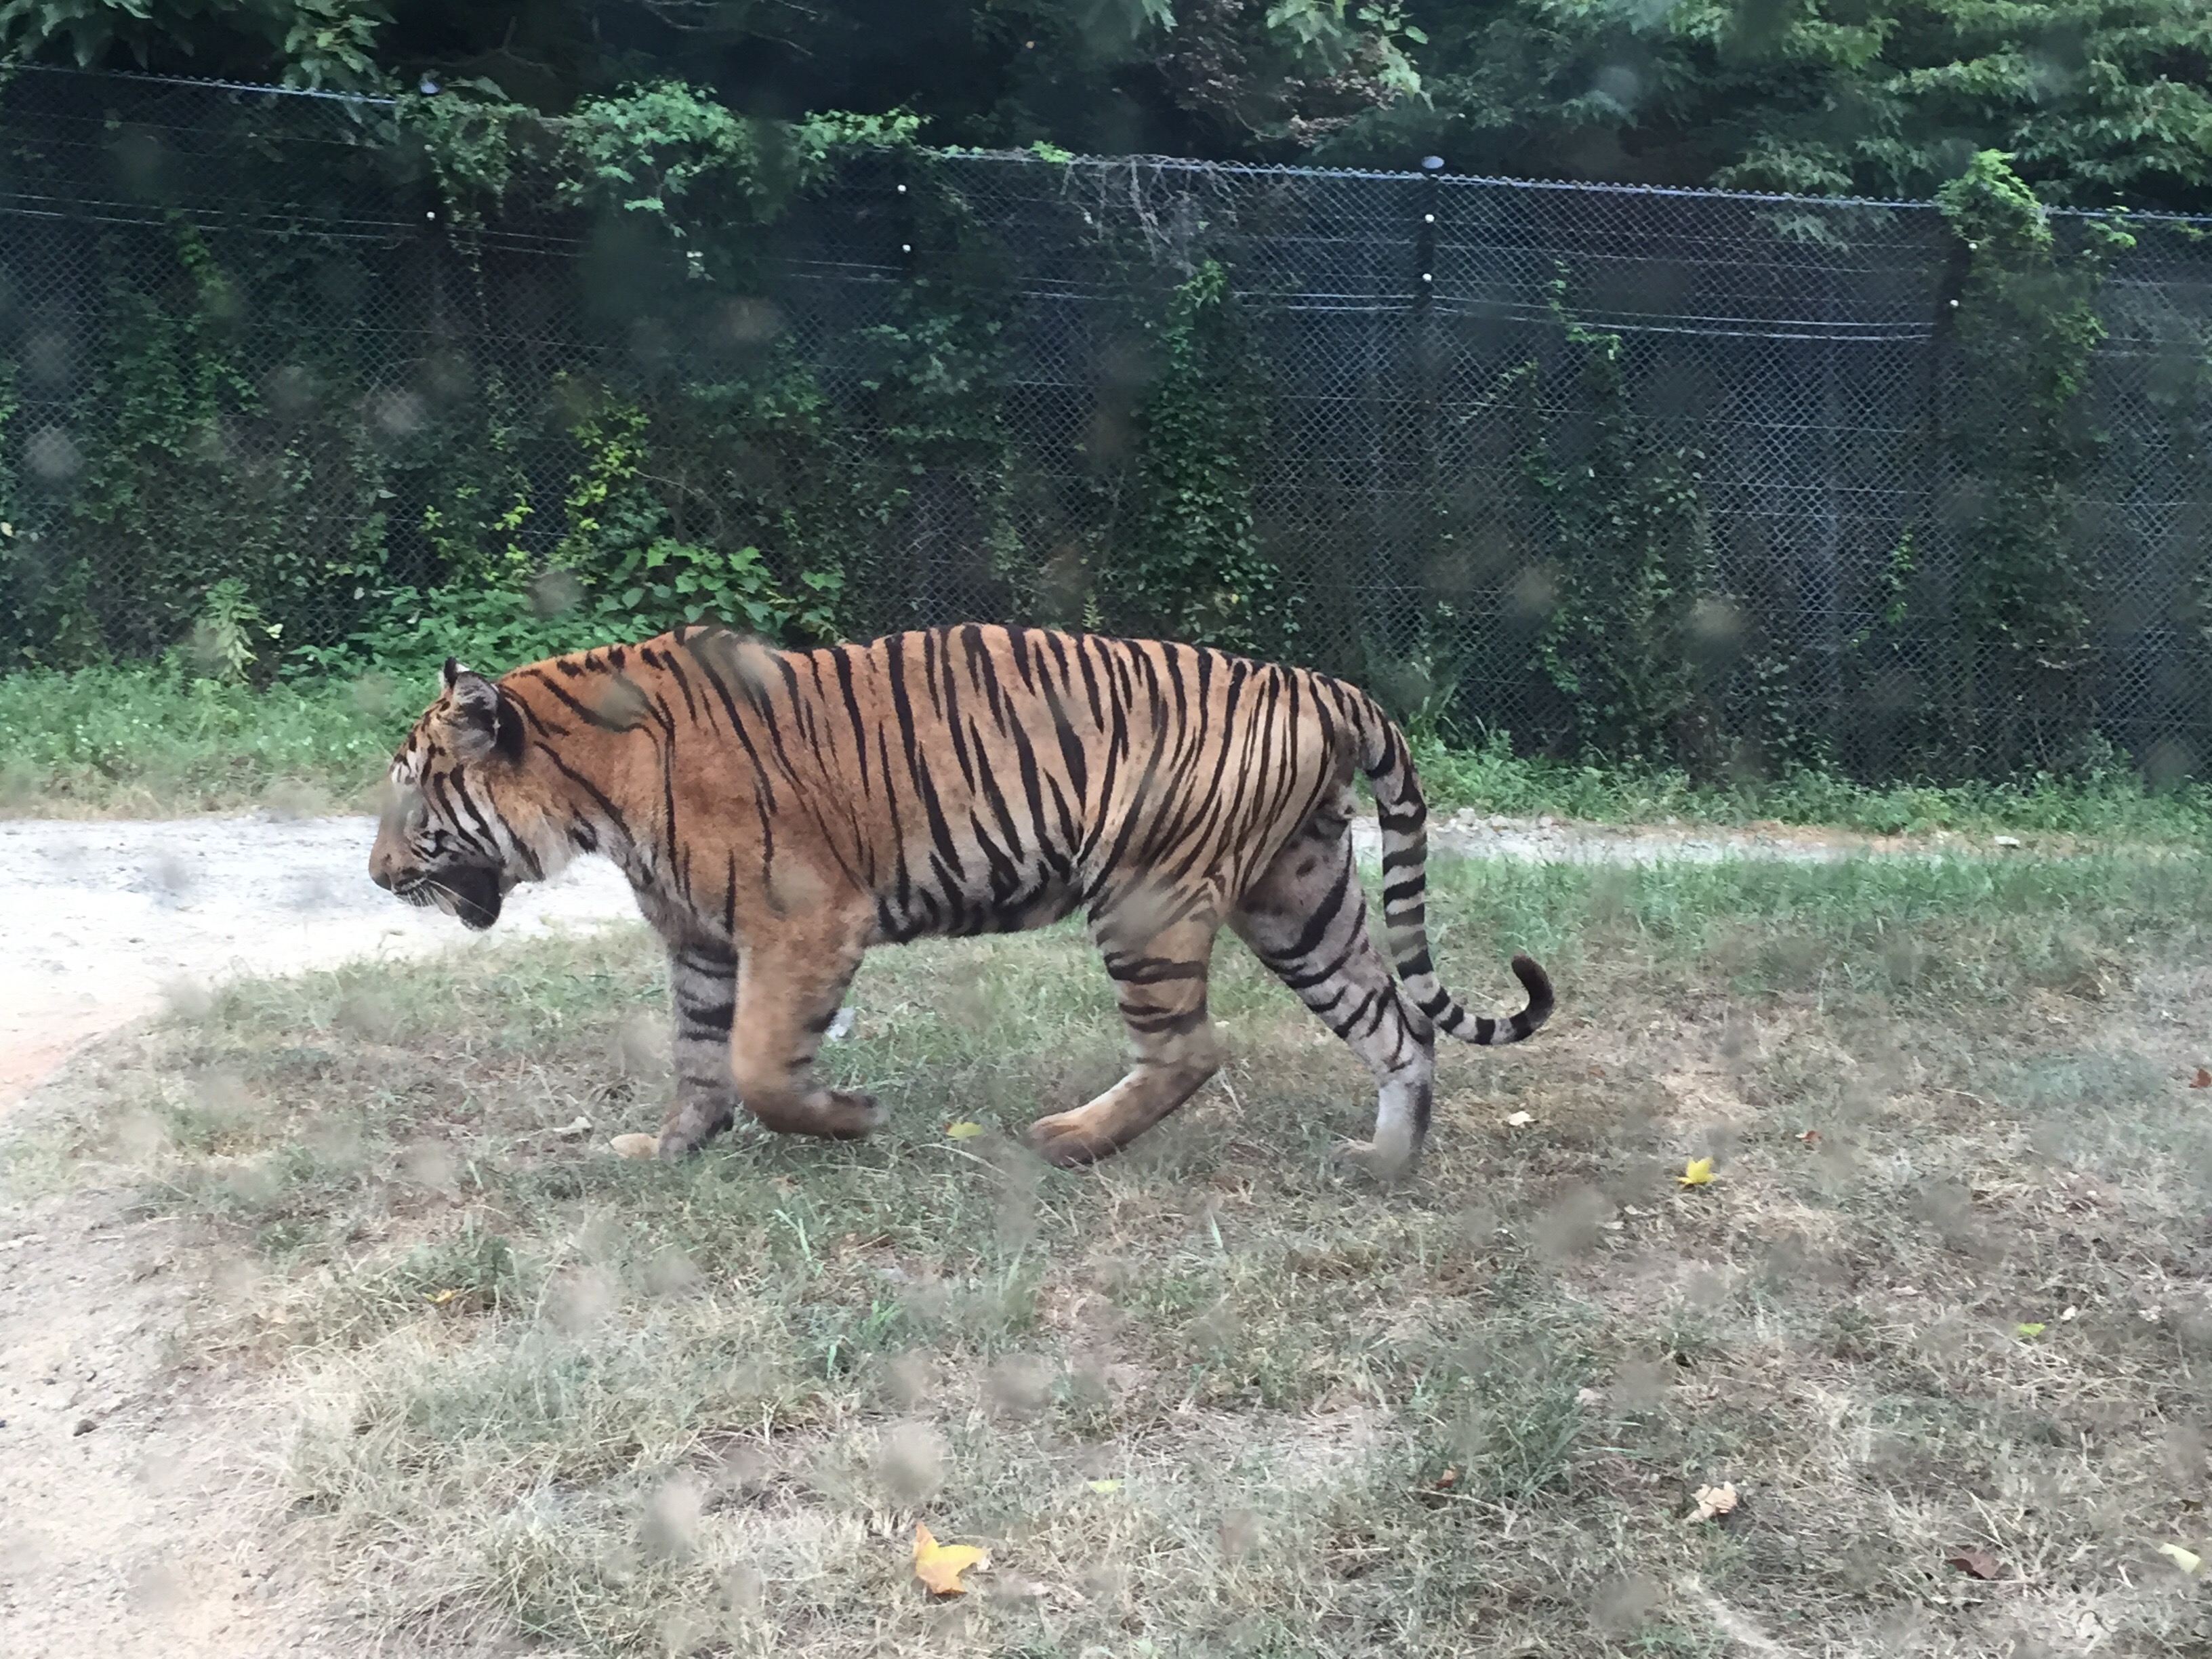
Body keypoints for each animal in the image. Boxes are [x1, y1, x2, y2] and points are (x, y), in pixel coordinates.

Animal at [368, 624, 1551, 1176]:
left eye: (414, 793)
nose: (377, 877)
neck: (591, 797)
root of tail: (1325, 683)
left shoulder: (805, 922)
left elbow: (759, 1067)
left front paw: (849, 1119)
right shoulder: (701, 942)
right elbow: (700, 1061)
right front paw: (665, 1152)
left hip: (1148, 893)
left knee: (1189, 1050)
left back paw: (1062, 1141)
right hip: (1295, 899)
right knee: (1398, 1027)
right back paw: (1385, 1164)